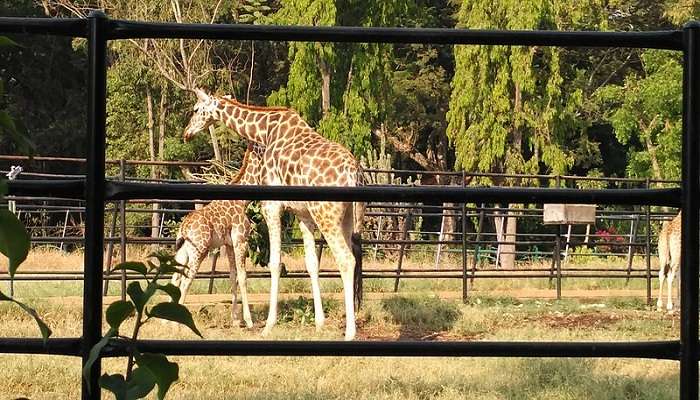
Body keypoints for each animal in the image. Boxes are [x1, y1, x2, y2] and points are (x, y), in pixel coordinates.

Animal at [172, 142, 266, 326]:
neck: (242, 201)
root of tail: (184, 228)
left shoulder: (228, 244)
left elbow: (232, 276)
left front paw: (235, 320)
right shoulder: (240, 240)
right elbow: (243, 277)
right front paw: (249, 321)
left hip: (184, 252)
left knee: (175, 278)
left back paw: (167, 320)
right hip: (199, 251)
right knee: (186, 281)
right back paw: (177, 323)